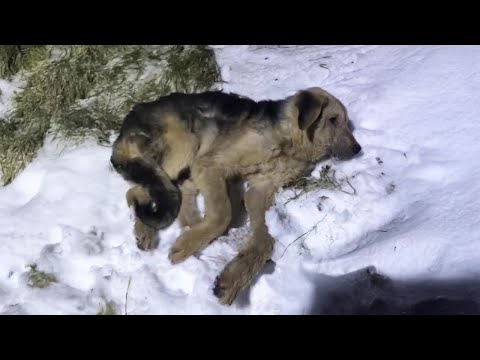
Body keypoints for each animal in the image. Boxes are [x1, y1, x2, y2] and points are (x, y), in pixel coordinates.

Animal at [110, 86, 362, 304]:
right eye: (333, 119)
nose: (358, 149)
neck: (288, 142)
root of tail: (128, 120)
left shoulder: (260, 192)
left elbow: (264, 240)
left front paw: (233, 279)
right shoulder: (210, 164)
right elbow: (223, 214)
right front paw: (188, 245)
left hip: (187, 167)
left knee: (172, 192)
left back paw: (191, 228)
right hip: (186, 145)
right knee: (137, 190)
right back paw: (148, 231)